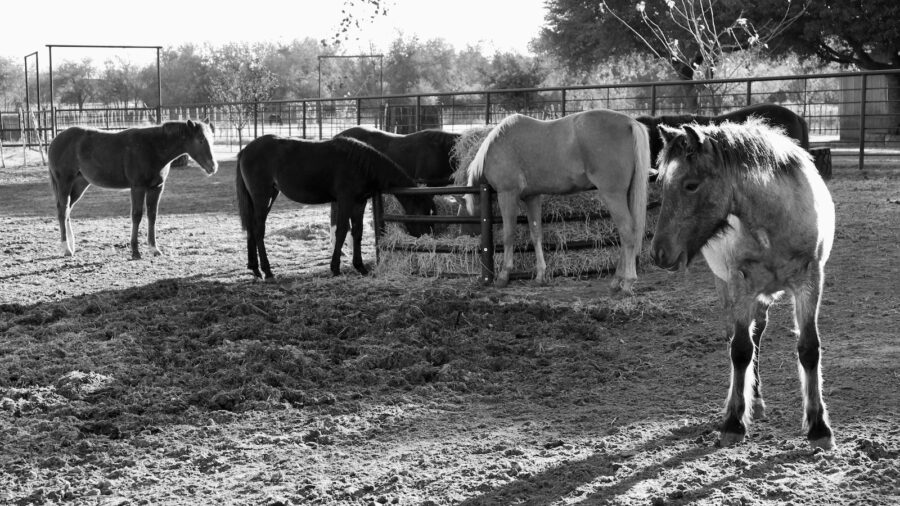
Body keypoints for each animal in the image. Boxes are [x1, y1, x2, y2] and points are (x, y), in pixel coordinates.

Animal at [48, 120, 218, 259]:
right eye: (200, 140)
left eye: (212, 139)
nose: (213, 167)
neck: (152, 148)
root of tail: (55, 141)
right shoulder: (138, 187)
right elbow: (137, 215)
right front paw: (136, 252)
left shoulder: (156, 188)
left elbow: (152, 215)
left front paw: (154, 249)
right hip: (64, 182)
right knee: (63, 211)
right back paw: (66, 248)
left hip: (80, 183)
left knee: (68, 210)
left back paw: (72, 246)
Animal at [235, 134, 436, 279]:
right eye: (424, 213)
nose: (428, 239)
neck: (360, 164)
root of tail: (245, 150)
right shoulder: (345, 200)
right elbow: (341, 231)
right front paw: (335, 268)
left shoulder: (359, 202)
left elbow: (357, 232)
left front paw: (360, 267)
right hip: (263, 197)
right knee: (258, 229)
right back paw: (267, 271)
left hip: (267, 197)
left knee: (252, 229)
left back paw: (254, 268)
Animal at [463, 110, 650, 293]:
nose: (468, 238)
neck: (499, 145)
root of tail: (629, 122)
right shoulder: (532, 197)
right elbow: (536, 234)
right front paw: (540, 276)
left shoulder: (507, 194)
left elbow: (509, 235)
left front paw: (503, 276)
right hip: (625, 195)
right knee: (626, 235)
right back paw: (617, 280)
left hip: (613, 195)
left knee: (627, 232)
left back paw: (627, 283)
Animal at [650, 119, 836, 450]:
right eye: (661, 184)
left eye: (691, 184)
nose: (659, 254)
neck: (774, 223)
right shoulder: (740, 285)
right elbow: (739, 350)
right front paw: (734, 422)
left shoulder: (810, 281)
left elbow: (809, 348)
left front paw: (819, 428)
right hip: (728, 288)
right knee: (739, 338)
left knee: (758, 334)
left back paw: (757, 401)